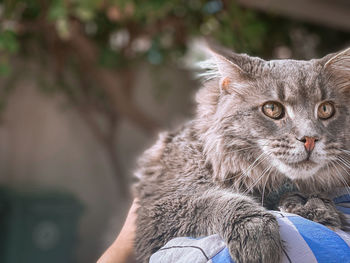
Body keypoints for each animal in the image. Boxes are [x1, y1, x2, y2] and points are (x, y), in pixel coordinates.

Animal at [134, 43, 350, 263]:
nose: (310, 139)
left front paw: (314, 206)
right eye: (272, 109)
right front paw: (258, 240)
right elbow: (220, 202)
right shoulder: (161, 207)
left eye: (325, 109)